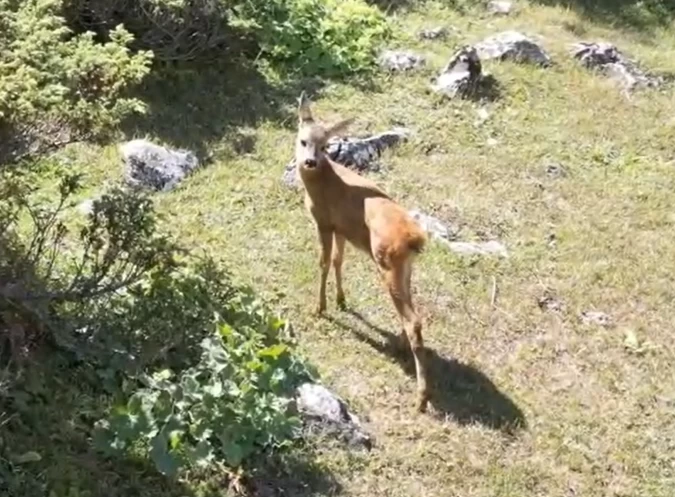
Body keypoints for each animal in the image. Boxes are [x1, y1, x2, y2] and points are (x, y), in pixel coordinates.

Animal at [294, 92, 430, 410]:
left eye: (325, 145)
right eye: (303, 140)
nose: (309, 161)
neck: (323, 181)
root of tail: (414, 238)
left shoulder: (323, 222)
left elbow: (322, 262)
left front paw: (320, 307)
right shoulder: (341, 228)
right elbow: (337, 261)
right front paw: (341, 300)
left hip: (387, 263)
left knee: (414, 321)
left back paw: (420, 398)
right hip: (405, 268)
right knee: (410, 314)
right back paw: (400, 347)